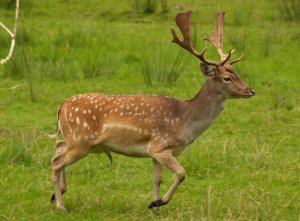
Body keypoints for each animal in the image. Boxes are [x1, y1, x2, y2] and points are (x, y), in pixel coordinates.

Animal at [49, 9, 255, 211]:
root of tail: (61, 106)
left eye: (238, 73)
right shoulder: (160, 146)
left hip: (78, 141)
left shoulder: (155, 153)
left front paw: (154, 207)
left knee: (58, 147)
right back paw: (60, 205)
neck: (186, 120)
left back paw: (56, 194)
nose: (251, 90)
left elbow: (157, 179)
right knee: (56, 162)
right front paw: (158, 202)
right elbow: (182, 173)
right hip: (81, 141)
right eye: (227, 78)